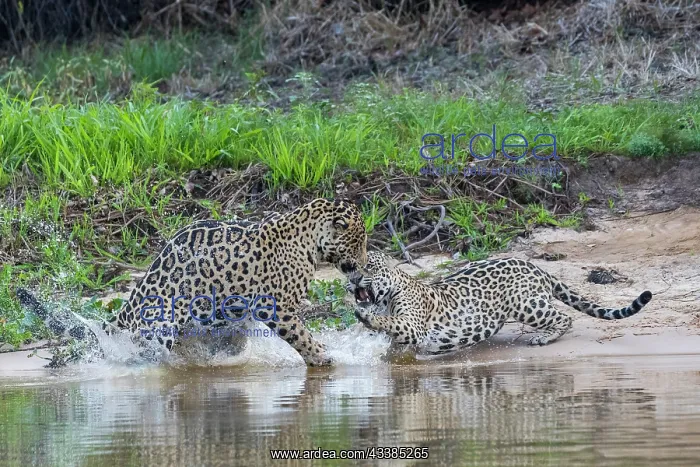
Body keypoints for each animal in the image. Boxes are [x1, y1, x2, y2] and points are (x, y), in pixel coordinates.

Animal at [16, 198, 368, 366]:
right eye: (360, 242)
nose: (365, 265)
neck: (308, 239)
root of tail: (132, 300)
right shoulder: (277, 307)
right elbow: (300, 335)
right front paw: (321, 356)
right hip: (159, 326)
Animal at [348, 251, 652, 355]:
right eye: (349, 267)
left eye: (368, 266)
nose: (353, 278)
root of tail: (535, 266)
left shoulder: (413, 325)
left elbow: (391, 321)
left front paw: (366, 317)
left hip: (526, 304)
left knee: (565, 318)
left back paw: (544, 338)